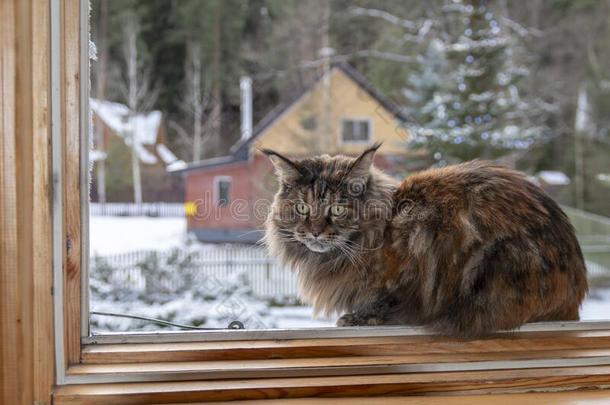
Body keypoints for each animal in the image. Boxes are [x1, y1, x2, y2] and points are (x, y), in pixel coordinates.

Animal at [264, 144, 588, 336]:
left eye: (338, 209)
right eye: (302, 208)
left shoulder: (405, 269)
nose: (315, 231)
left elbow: (383, 302)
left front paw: (358, 317)